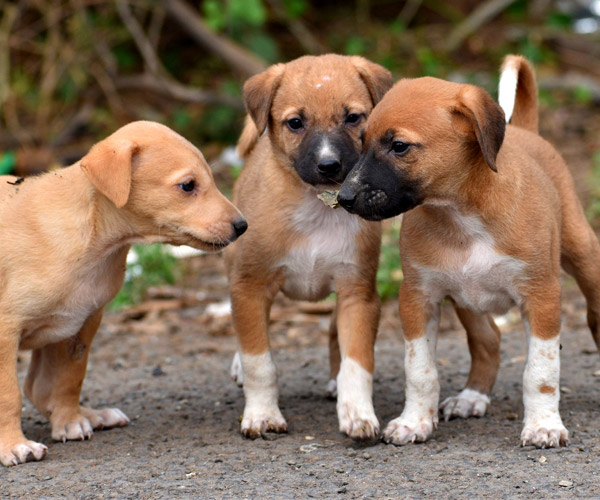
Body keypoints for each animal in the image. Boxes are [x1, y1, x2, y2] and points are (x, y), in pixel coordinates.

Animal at [0, 121, 246, 464]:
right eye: (188, 186)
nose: (242, 226)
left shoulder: (78, 325)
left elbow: (68, 379)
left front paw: (70, 421)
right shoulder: (6, 330)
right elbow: (7, 393)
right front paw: (13, 444)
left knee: (39, 387)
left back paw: (93, 414)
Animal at [223, 52, 392, 440]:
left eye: (353, 117)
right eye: (296, 123)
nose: (329, 165)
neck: (317, 209)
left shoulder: (358, 293)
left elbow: (357, 362)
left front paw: (357, 412)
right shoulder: (250, 287)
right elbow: (259, 361)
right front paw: (262, 414)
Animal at [338, 55, 600, 450]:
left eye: (399, 146)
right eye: (362, 139)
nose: (344, 198)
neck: (462, 217)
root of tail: (527, 130)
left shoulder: (541, 296)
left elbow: (541, 371)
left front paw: (543, 425)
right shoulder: (418, 298)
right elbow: (420, 370)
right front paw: (415, 421)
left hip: (583, 254)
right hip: (467, 301)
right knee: (488, 341)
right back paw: (472, 397)